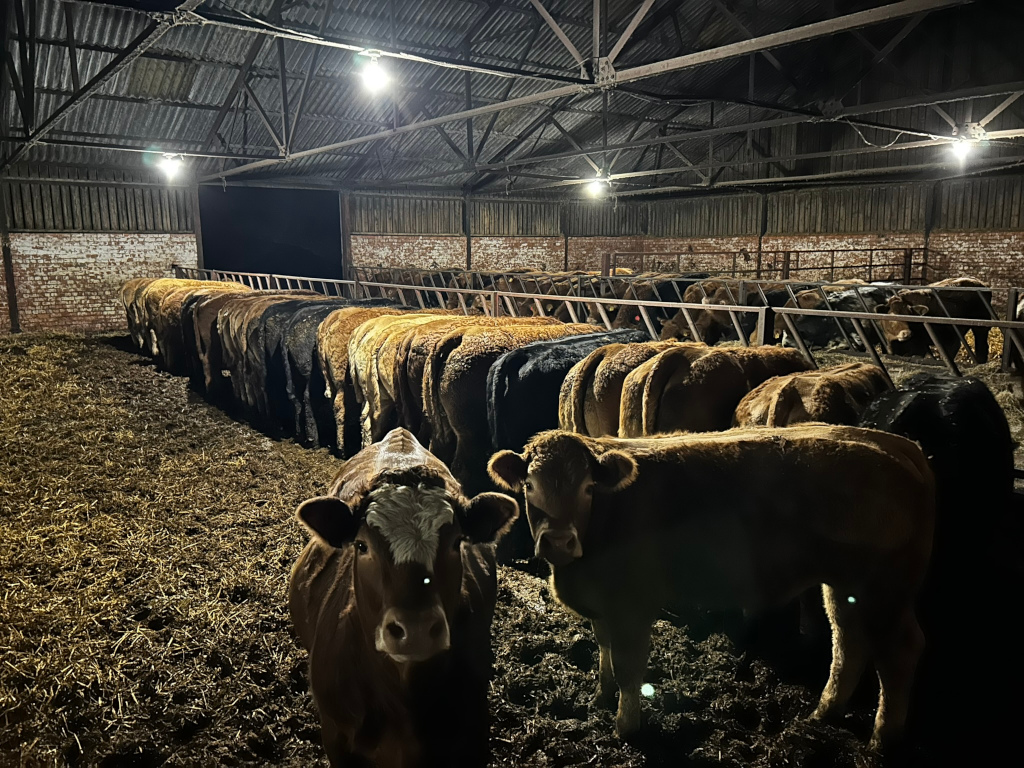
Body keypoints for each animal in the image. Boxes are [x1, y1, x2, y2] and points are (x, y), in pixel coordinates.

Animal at [487, 425, 935, 750]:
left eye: (587, 487)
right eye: (529, 486)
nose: (559, 542)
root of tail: (894, 444)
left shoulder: (632, 605)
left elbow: (629, 667)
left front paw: (625, 727)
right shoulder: (604, 604)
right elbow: (604, 649)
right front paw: (600, 697)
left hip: (883, 590)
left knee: (898, 652)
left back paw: (881, 739)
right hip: (844, 586)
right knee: (848, 641)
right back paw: (823, 713)